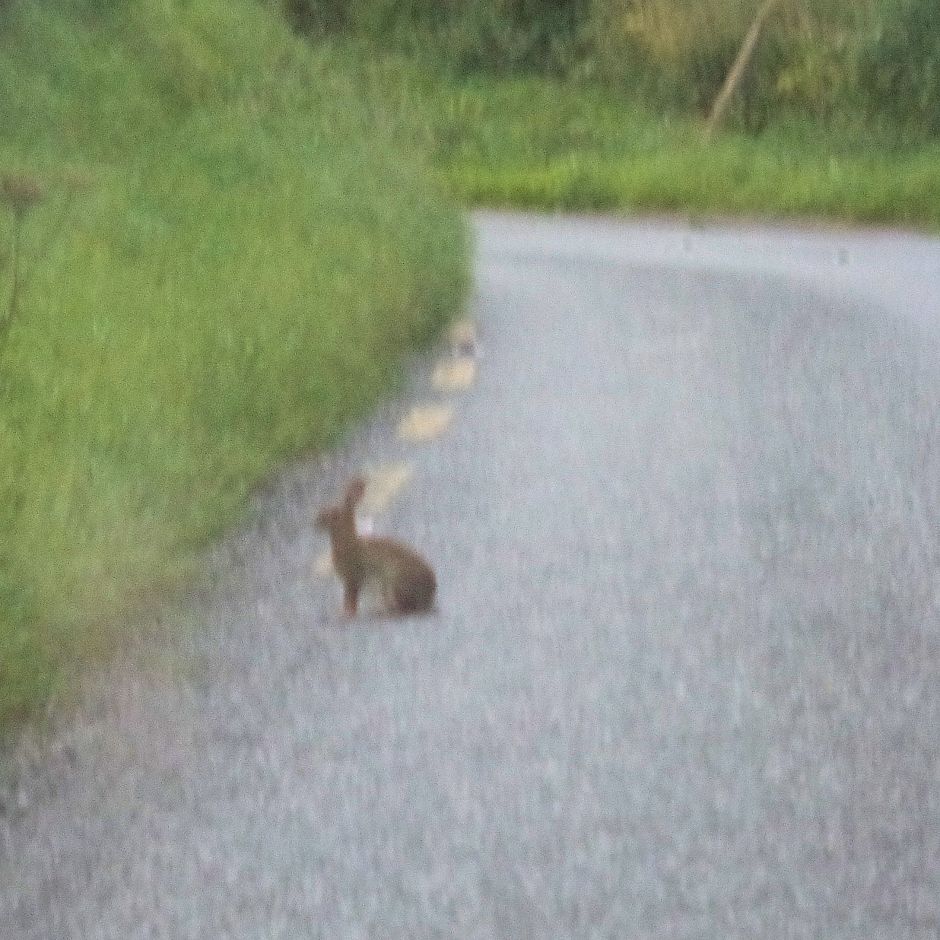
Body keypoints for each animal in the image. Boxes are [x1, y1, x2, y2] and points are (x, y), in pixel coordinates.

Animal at [315, 477, 436, 617]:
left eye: (333, 514)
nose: (315, 522)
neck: (350, 542)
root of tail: (429, 595)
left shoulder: (353, 578)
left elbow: (350, 599)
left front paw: (345, 615)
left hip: (393, 581)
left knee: (405, 607)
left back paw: (385, 611)